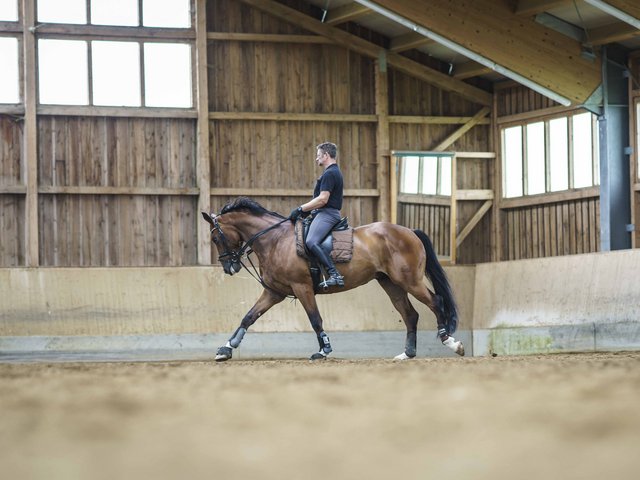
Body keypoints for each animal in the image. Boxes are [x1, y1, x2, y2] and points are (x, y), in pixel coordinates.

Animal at [202, 197, 462, 362]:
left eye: (215, 238)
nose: (229, 267)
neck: (275, 240)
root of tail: (409, 231)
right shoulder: (274, 292)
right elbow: (248, 317)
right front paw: (225, 349)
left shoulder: (302, 287)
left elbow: (315, 319)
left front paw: (324, 350)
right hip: (391, 284)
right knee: (410, 315)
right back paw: (407, 354)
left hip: (409, 281)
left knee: (436, 302)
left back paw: (450, 342)